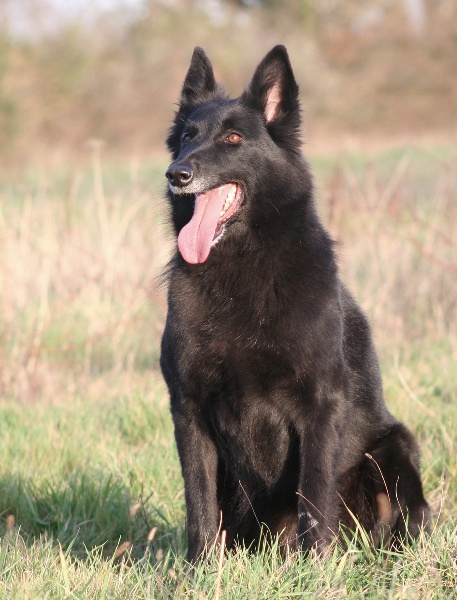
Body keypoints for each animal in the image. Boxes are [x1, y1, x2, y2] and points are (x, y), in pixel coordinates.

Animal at [160, 45, 430, 564]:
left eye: (233, 138)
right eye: (186, 138)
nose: (176, 174)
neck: (240, 269)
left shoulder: (320, 407)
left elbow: (314, 496)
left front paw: (314, 568)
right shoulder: (189, 409)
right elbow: (198, 505)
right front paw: (198, 571)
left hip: (394, 447)